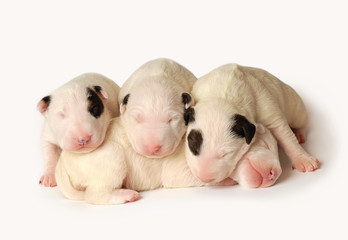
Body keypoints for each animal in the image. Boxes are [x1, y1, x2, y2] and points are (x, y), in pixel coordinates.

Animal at [186, 63, 320, 184]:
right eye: (193, 148)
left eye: (226, 154)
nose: (204, 178)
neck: (224, 96)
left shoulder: (268, 109)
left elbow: (285, 135)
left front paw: (304, 160)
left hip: (294, 106)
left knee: (302, 121)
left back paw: (299, 133)